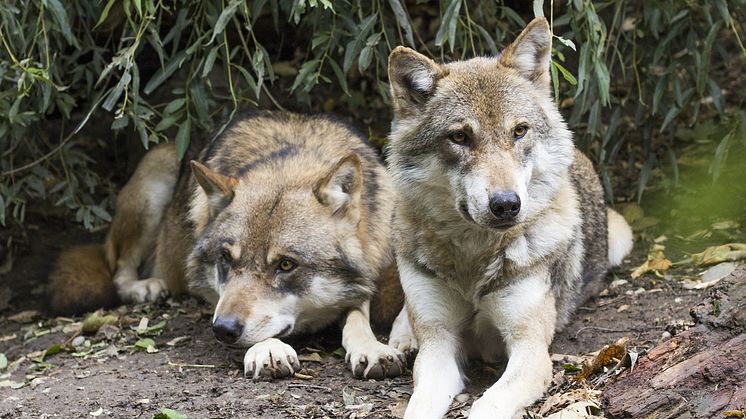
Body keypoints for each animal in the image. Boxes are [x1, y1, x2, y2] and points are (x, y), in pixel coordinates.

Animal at [50, 111, 412, 380]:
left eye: (285, 264)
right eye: (225, 258)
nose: (222, 329)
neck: (293, 158)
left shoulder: (373, 270)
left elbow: (359, 314)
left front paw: (372, 347)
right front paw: (269, 348)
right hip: (155, 177)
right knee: (118, 269)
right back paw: (145, 287)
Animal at [384, 17, 632, 419]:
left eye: (519, 131)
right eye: (459, 137)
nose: (506, 204)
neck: (473, 259)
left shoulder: (529, 349)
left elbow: (487, 406)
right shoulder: (439, 346)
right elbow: (419, 406)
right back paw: (401, 340)